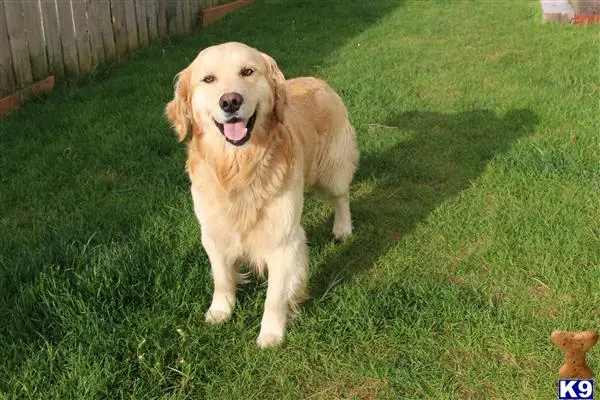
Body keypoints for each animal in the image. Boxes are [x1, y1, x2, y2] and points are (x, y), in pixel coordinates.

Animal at [164, 41, 358, 346]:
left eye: (248, 71)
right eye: (208, 79)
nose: (230, 101)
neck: (239, 167)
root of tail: (319, 80)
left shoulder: (283, 239)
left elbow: (275, 296)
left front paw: (271, 334)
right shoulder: (213, 232)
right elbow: (222, 277)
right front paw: (220, 311)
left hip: (331, 169)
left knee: (342, 196)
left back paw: (342, 228)